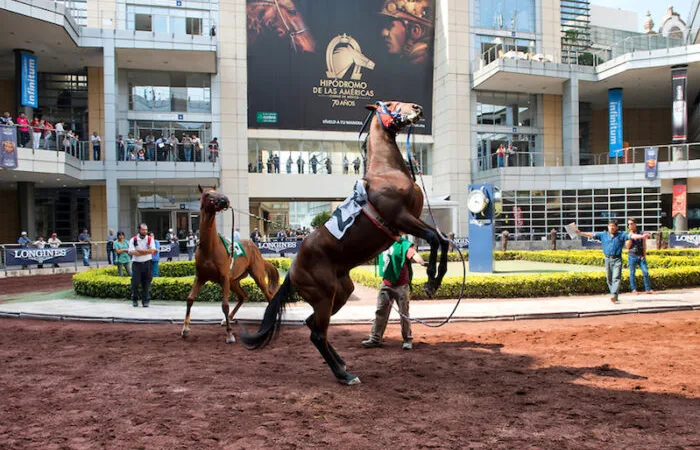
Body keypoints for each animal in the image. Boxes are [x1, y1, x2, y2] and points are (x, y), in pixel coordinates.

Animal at [182, 185, 280, 342]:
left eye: (218, 192)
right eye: (207, 194)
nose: (225, 200)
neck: (210, 247)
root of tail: (254, 247)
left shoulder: (224, 278)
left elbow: (225, 305)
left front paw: (229, 334)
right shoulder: (201, 277)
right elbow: (190, 299)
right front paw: (185, 329)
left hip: (257, 275)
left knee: (269, 296)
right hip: (234, 280)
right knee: (243, 296)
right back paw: (228, 318)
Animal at [241, 101, 448, 384]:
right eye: (390, 104)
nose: (417, 108)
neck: (387, 172)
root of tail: (292, 271)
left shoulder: (412, 219)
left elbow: (443, 240)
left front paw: (436, 280)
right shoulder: (402, 218)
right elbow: (434, 239)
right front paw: (430, 282)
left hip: (340, 293)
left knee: (313, 325)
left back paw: (341, 363)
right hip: (324, 295)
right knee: (317, 333)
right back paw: (344, 374)